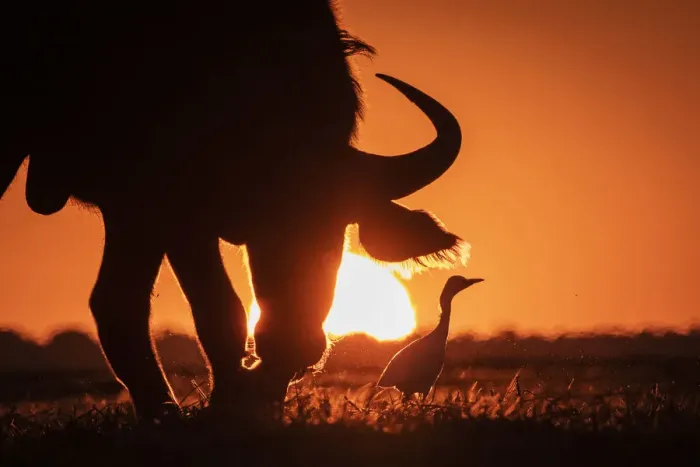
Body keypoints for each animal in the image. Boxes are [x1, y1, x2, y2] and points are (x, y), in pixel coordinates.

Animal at [1, 1, 469, 421]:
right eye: (269, 223)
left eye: (336, 230)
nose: (297, 340)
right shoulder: (161, 201)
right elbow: (213, 308)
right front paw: (200, 406)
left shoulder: (145, 208)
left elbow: (125, 302)